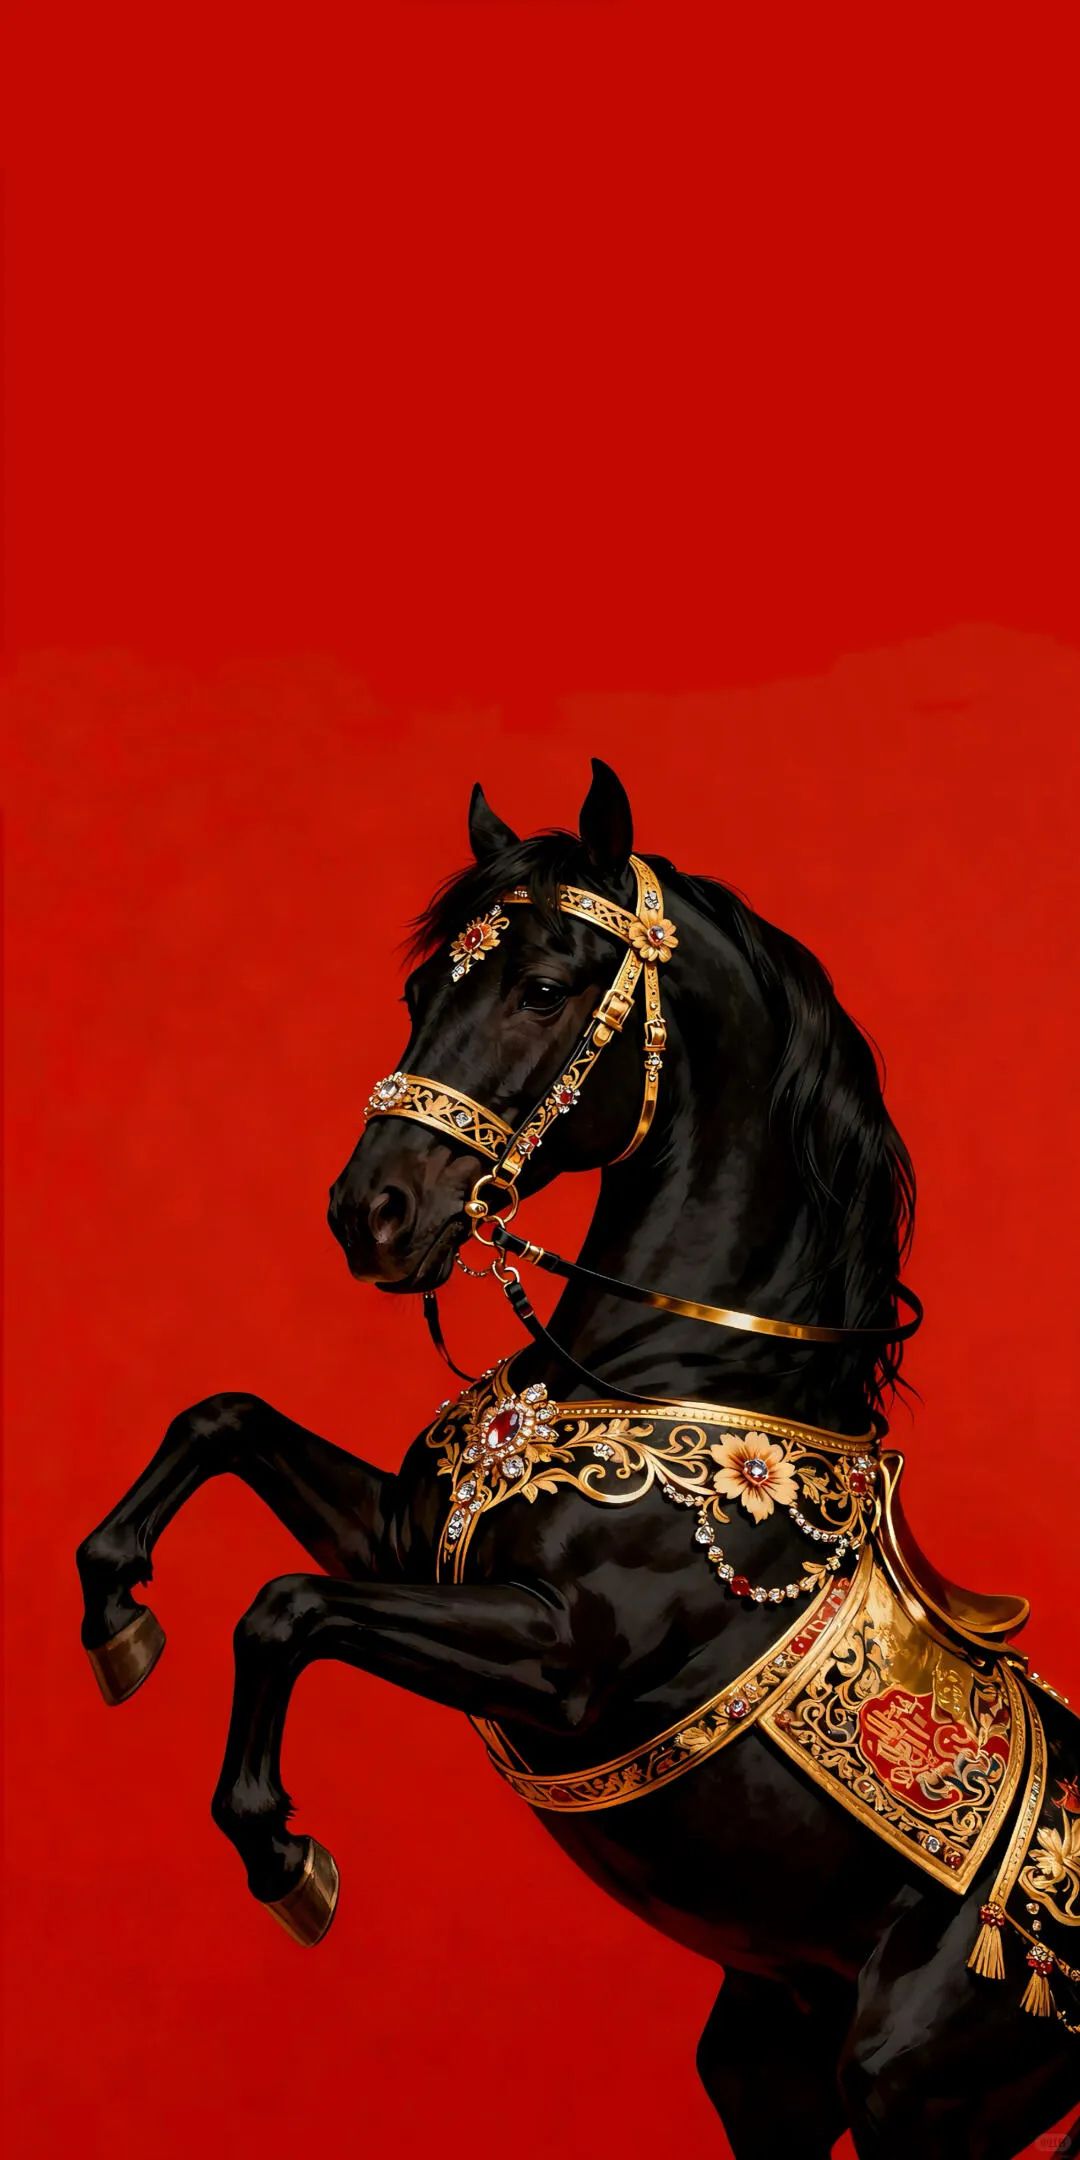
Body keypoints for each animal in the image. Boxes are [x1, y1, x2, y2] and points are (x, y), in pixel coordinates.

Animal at [77, 760, 1080, 2159]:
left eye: (544, 988)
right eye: (419, 991)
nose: (369, 1214)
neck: (678, 1371)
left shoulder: (561, 1660)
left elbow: (284, 1609)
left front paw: (282, 1855)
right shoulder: (412, 1544)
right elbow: (220, 1419)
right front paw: (116, 1612)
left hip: (918, 2096)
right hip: (768, 2063)